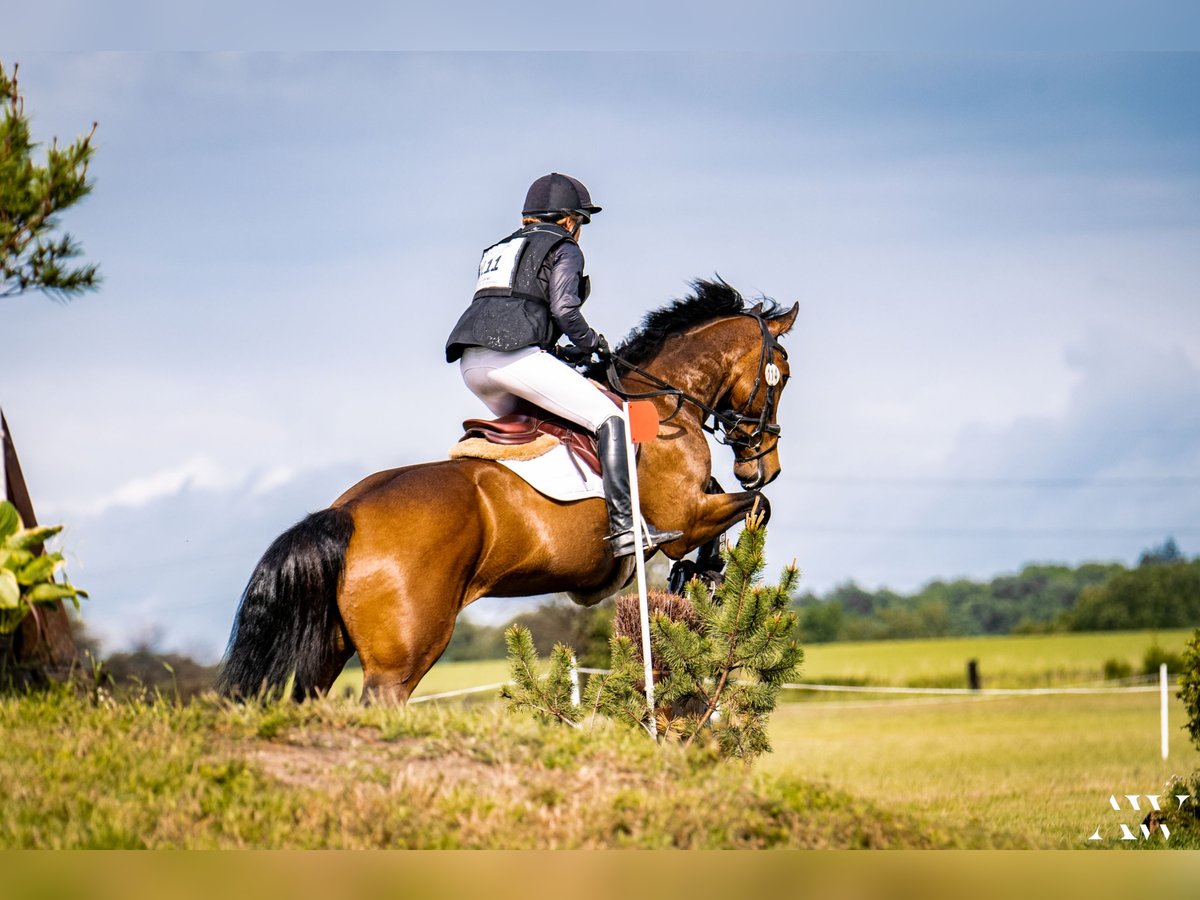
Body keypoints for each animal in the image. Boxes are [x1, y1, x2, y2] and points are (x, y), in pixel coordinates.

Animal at [218, 282, 796, 705]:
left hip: (325, 651)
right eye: (782, 375)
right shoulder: (685, 518)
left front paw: (700, 577)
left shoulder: (700, 506)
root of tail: (345, 513)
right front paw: (708, 574)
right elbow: (754, 509)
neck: (664, 399)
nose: (764, 465)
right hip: (400, 659)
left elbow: (731, 508)